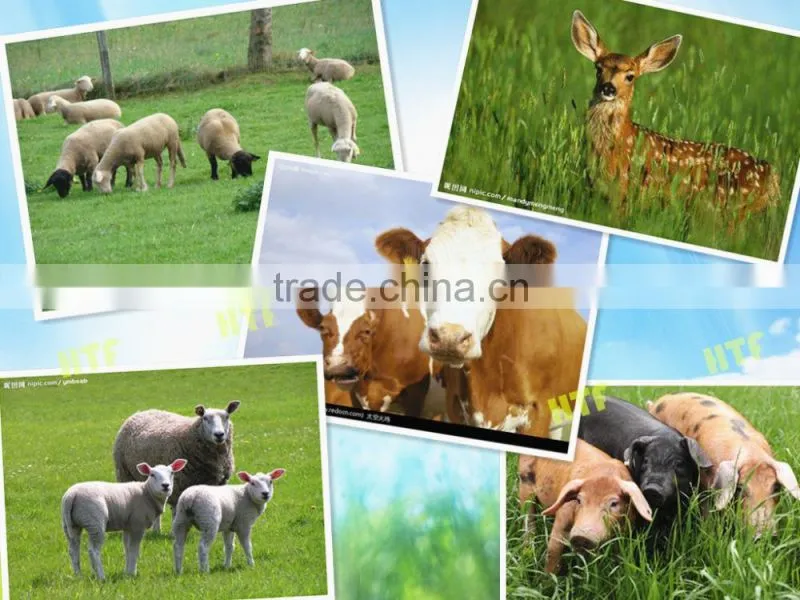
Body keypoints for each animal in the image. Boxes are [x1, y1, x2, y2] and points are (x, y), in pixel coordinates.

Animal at [518, 439, 652, 574]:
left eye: (614, 503)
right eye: (579, 500)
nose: (582, 536)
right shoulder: (563, 515)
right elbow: (553, 550)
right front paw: (547, 577)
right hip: (524, 482)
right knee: (528, 517)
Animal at [648, 391, 800, 537]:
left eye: (776, 487)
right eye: (739, 488)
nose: (762, 536)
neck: (750, 453)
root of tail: (657, 401)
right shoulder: (705, 487)